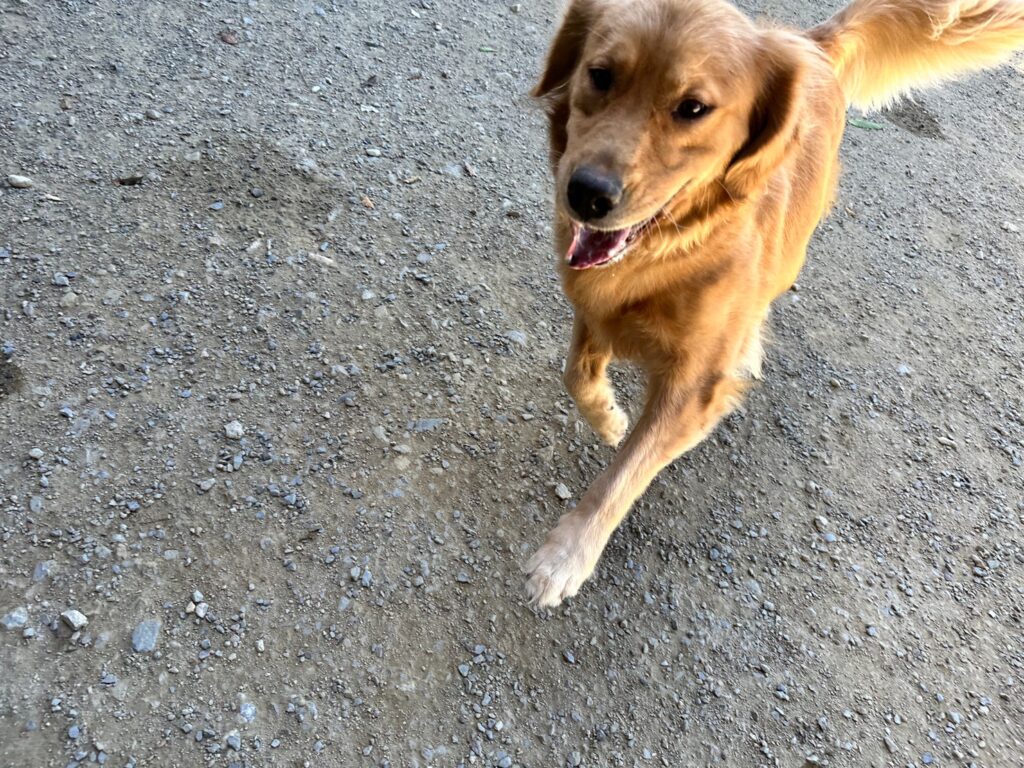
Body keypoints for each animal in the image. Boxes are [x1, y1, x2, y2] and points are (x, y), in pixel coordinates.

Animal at [525, 0, 1024, 607]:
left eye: (693, 108)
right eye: (600, 75)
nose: (586, 194)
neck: (672, 249)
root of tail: (808, 41)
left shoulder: (694, 389)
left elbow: (625, 474)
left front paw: (566, 557)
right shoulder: (592, 300)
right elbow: (576, 372)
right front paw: (609, 418)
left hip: (792, 252)